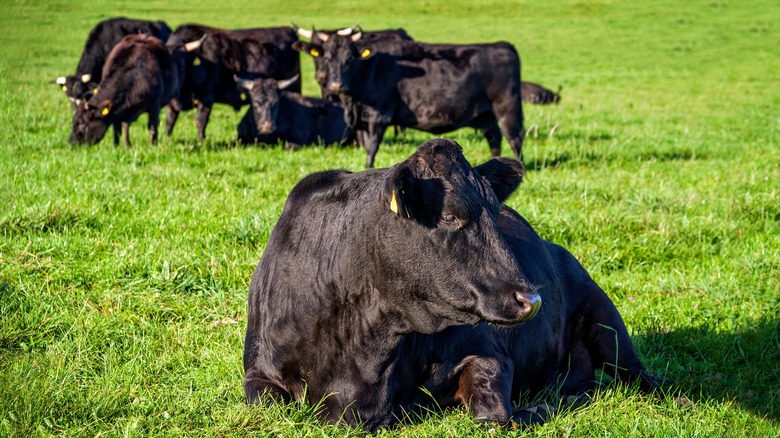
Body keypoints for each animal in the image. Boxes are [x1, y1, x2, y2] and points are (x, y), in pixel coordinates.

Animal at [163, 24, 300, 140]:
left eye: (181, 66)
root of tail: (287, 29)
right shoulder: (171, 103)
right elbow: (169, 120)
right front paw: (166, 139)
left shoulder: (206, 98)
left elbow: (200, 121)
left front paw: (200, 140)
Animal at [244, 138, 660, 432]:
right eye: (449, 216)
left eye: (495, 212)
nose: (531, 298)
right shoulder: (258, 371)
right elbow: (267, 402)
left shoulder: (488, 351)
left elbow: (495, 417)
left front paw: (545, 404)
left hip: (606, 321)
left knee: (639, 374)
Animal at [296, 26, 528, 168]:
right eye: (327, 57)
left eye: (350, 58)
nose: (336, 85)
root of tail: (502, 45)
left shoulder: (379, 116)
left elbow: (371, 147)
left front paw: (367, 167)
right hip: (486, 114)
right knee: (494, 136)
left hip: (507, 108)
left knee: (515, 137)